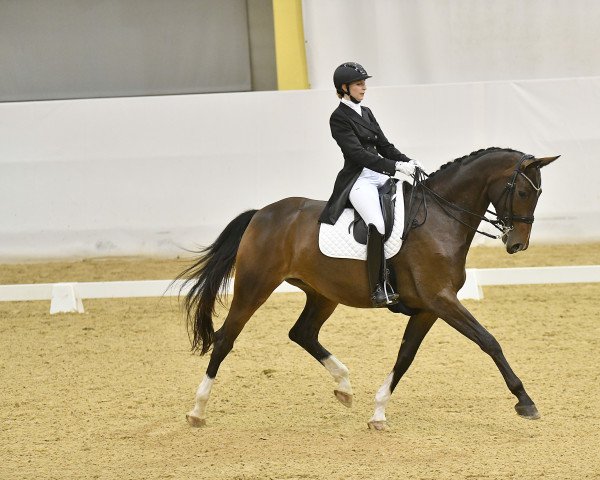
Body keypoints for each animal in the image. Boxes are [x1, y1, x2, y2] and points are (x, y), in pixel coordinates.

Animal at [177, 146, 556, 428]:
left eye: (539, 194)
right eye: (523, 192)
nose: (517, 244)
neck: (440, 218)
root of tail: (261, 214)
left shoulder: (429, 308)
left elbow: (405, 357)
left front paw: (378, 412)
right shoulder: (441, 300)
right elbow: (489, 342)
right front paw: (525, 401)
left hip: (322, 293)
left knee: (302, 332)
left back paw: (344, 386)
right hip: (254, 286)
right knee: (225, 338)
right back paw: (197, 410)